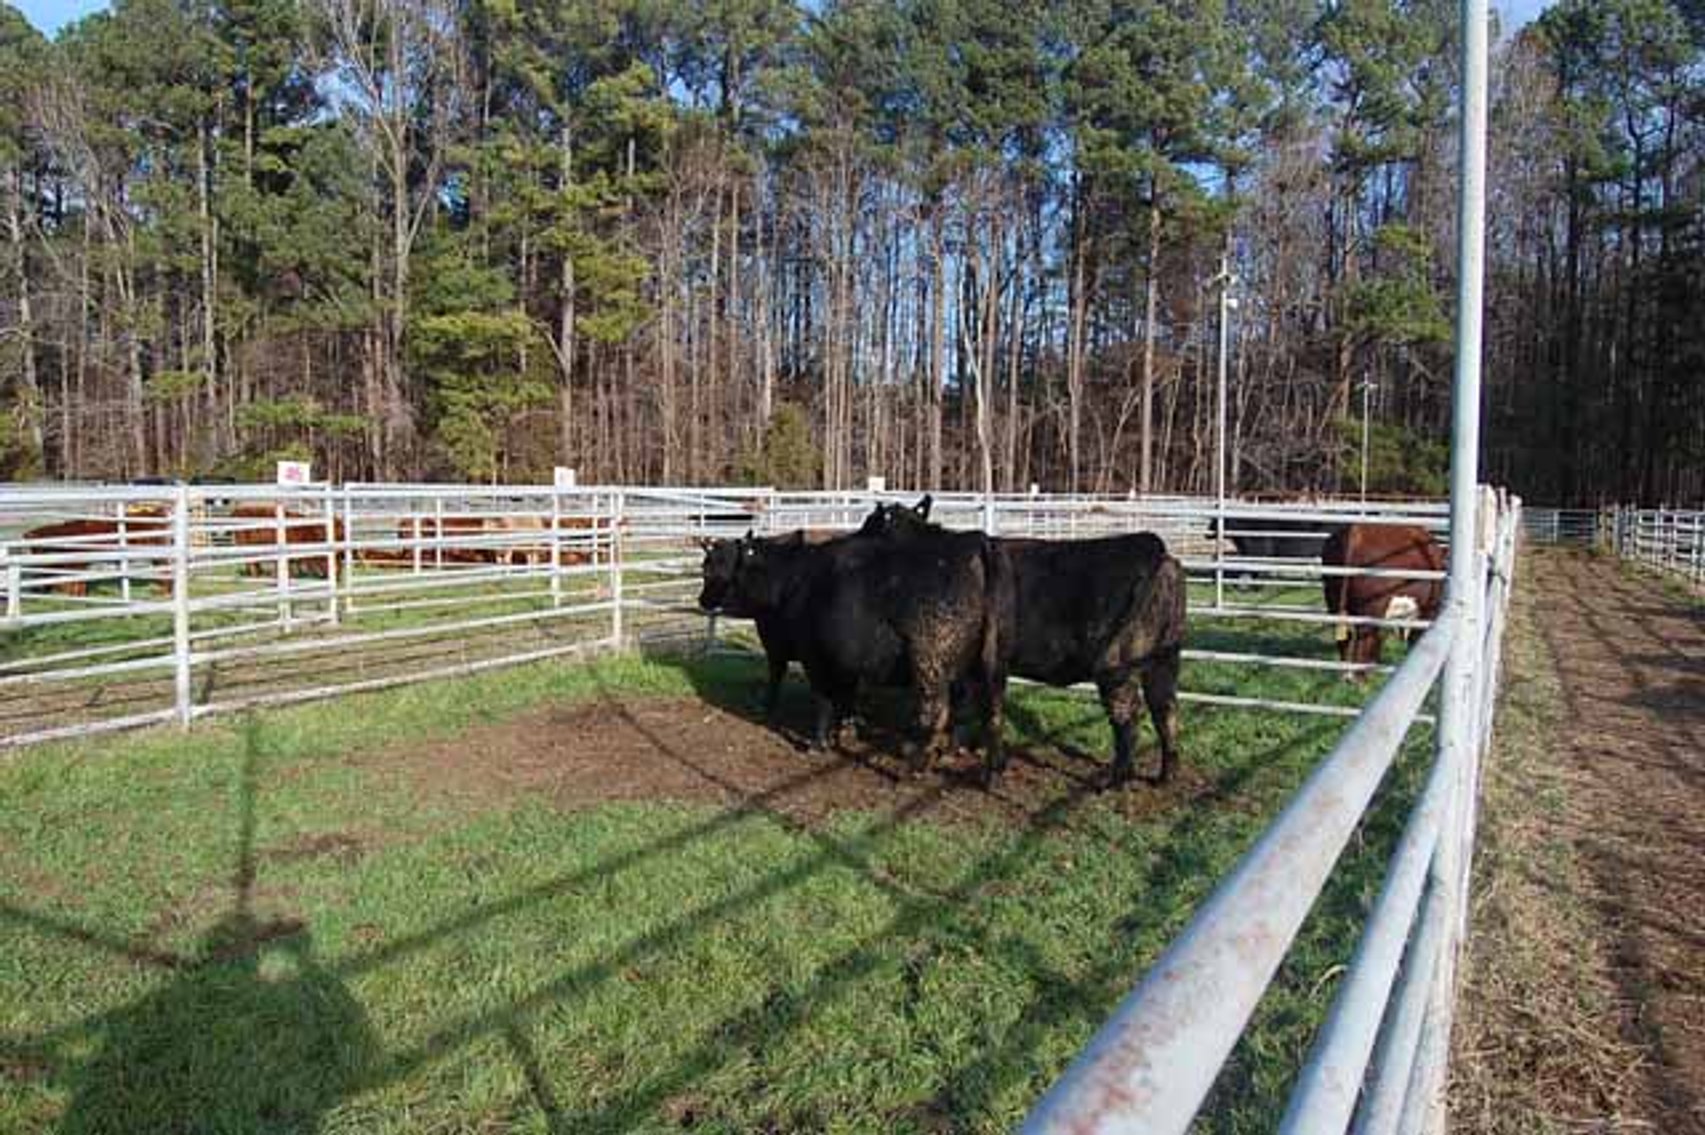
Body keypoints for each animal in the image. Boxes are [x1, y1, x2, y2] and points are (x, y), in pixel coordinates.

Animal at [698, 524, 1009, 781]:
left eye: (716, 569)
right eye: (707, 565)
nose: (703, 600)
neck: (792, 579)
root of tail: (971, 541)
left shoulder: (812, 655)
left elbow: (821, 696)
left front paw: (818, 742)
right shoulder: (843, 661)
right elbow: (844, 696)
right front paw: (843, 728)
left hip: (930, 661)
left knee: (937, 711)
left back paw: (916, 767)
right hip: (978, 664)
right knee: (987, 709)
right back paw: (979, 764)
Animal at [862, 497, 1186, 787]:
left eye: (871, 524)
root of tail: (1157, 551)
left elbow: (979, 710)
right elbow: (970, 708)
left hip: (1117, 665)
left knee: (1128, 716)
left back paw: (1116, 780)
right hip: (1164, 661)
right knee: (1165, 710)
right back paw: (1165, 776)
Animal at [1320, 523, 1445, 675]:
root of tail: (1356, 531)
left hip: (1333, 599)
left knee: (1345, 637)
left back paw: (1346, 673)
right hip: (1371, 611)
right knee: (1364, 642)